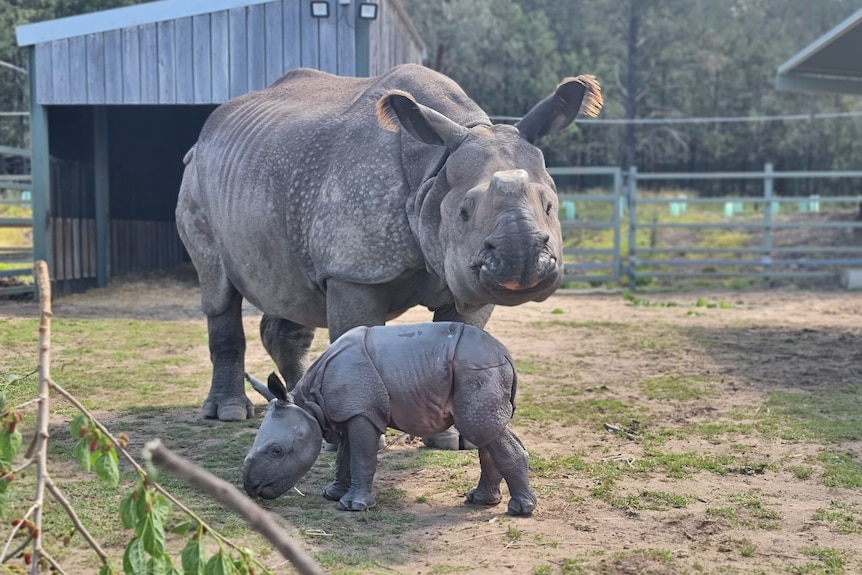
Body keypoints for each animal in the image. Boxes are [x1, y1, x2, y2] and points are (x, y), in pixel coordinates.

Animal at [178, 63, 604, 426]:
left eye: (549, 205)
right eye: (464, 212)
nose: (522, 262)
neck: (432, 170)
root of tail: (204, 136)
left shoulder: (468, 280)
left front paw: (450, 438)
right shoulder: (354, 270)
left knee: (292, 291)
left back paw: (300, 404)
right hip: (196, 179)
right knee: (219, 288)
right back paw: (230, 413)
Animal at [243, 322, 536, 516]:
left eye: (277, 451)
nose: (250, 488)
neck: (309, 404)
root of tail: (505, 354)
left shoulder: (361, 411)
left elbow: (361, 457)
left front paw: (353, 506)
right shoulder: (351, 410)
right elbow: (345, 456)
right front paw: (333, 494)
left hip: (477, 370)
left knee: (481, 428)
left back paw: (519, 510)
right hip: (478, 371)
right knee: (487, 431)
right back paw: (480, 500)